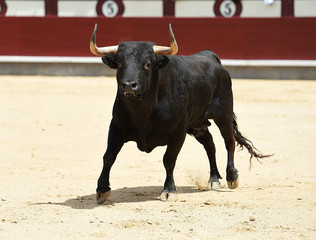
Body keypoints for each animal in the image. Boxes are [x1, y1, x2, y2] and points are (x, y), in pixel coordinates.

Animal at [90, 24, 270, 203]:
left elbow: (169, 160)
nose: (128, 85)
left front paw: (169, 190)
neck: (143, 112)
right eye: (119, 63)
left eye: (147, 64)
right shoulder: (116, 128)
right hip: (197, 124)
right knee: (210, 144)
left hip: (223, 115)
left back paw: (231, 177)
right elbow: (109, 156)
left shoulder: (178, 132)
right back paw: (214, 179)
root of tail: (210, 56)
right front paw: (102, 189)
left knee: (229, 141)